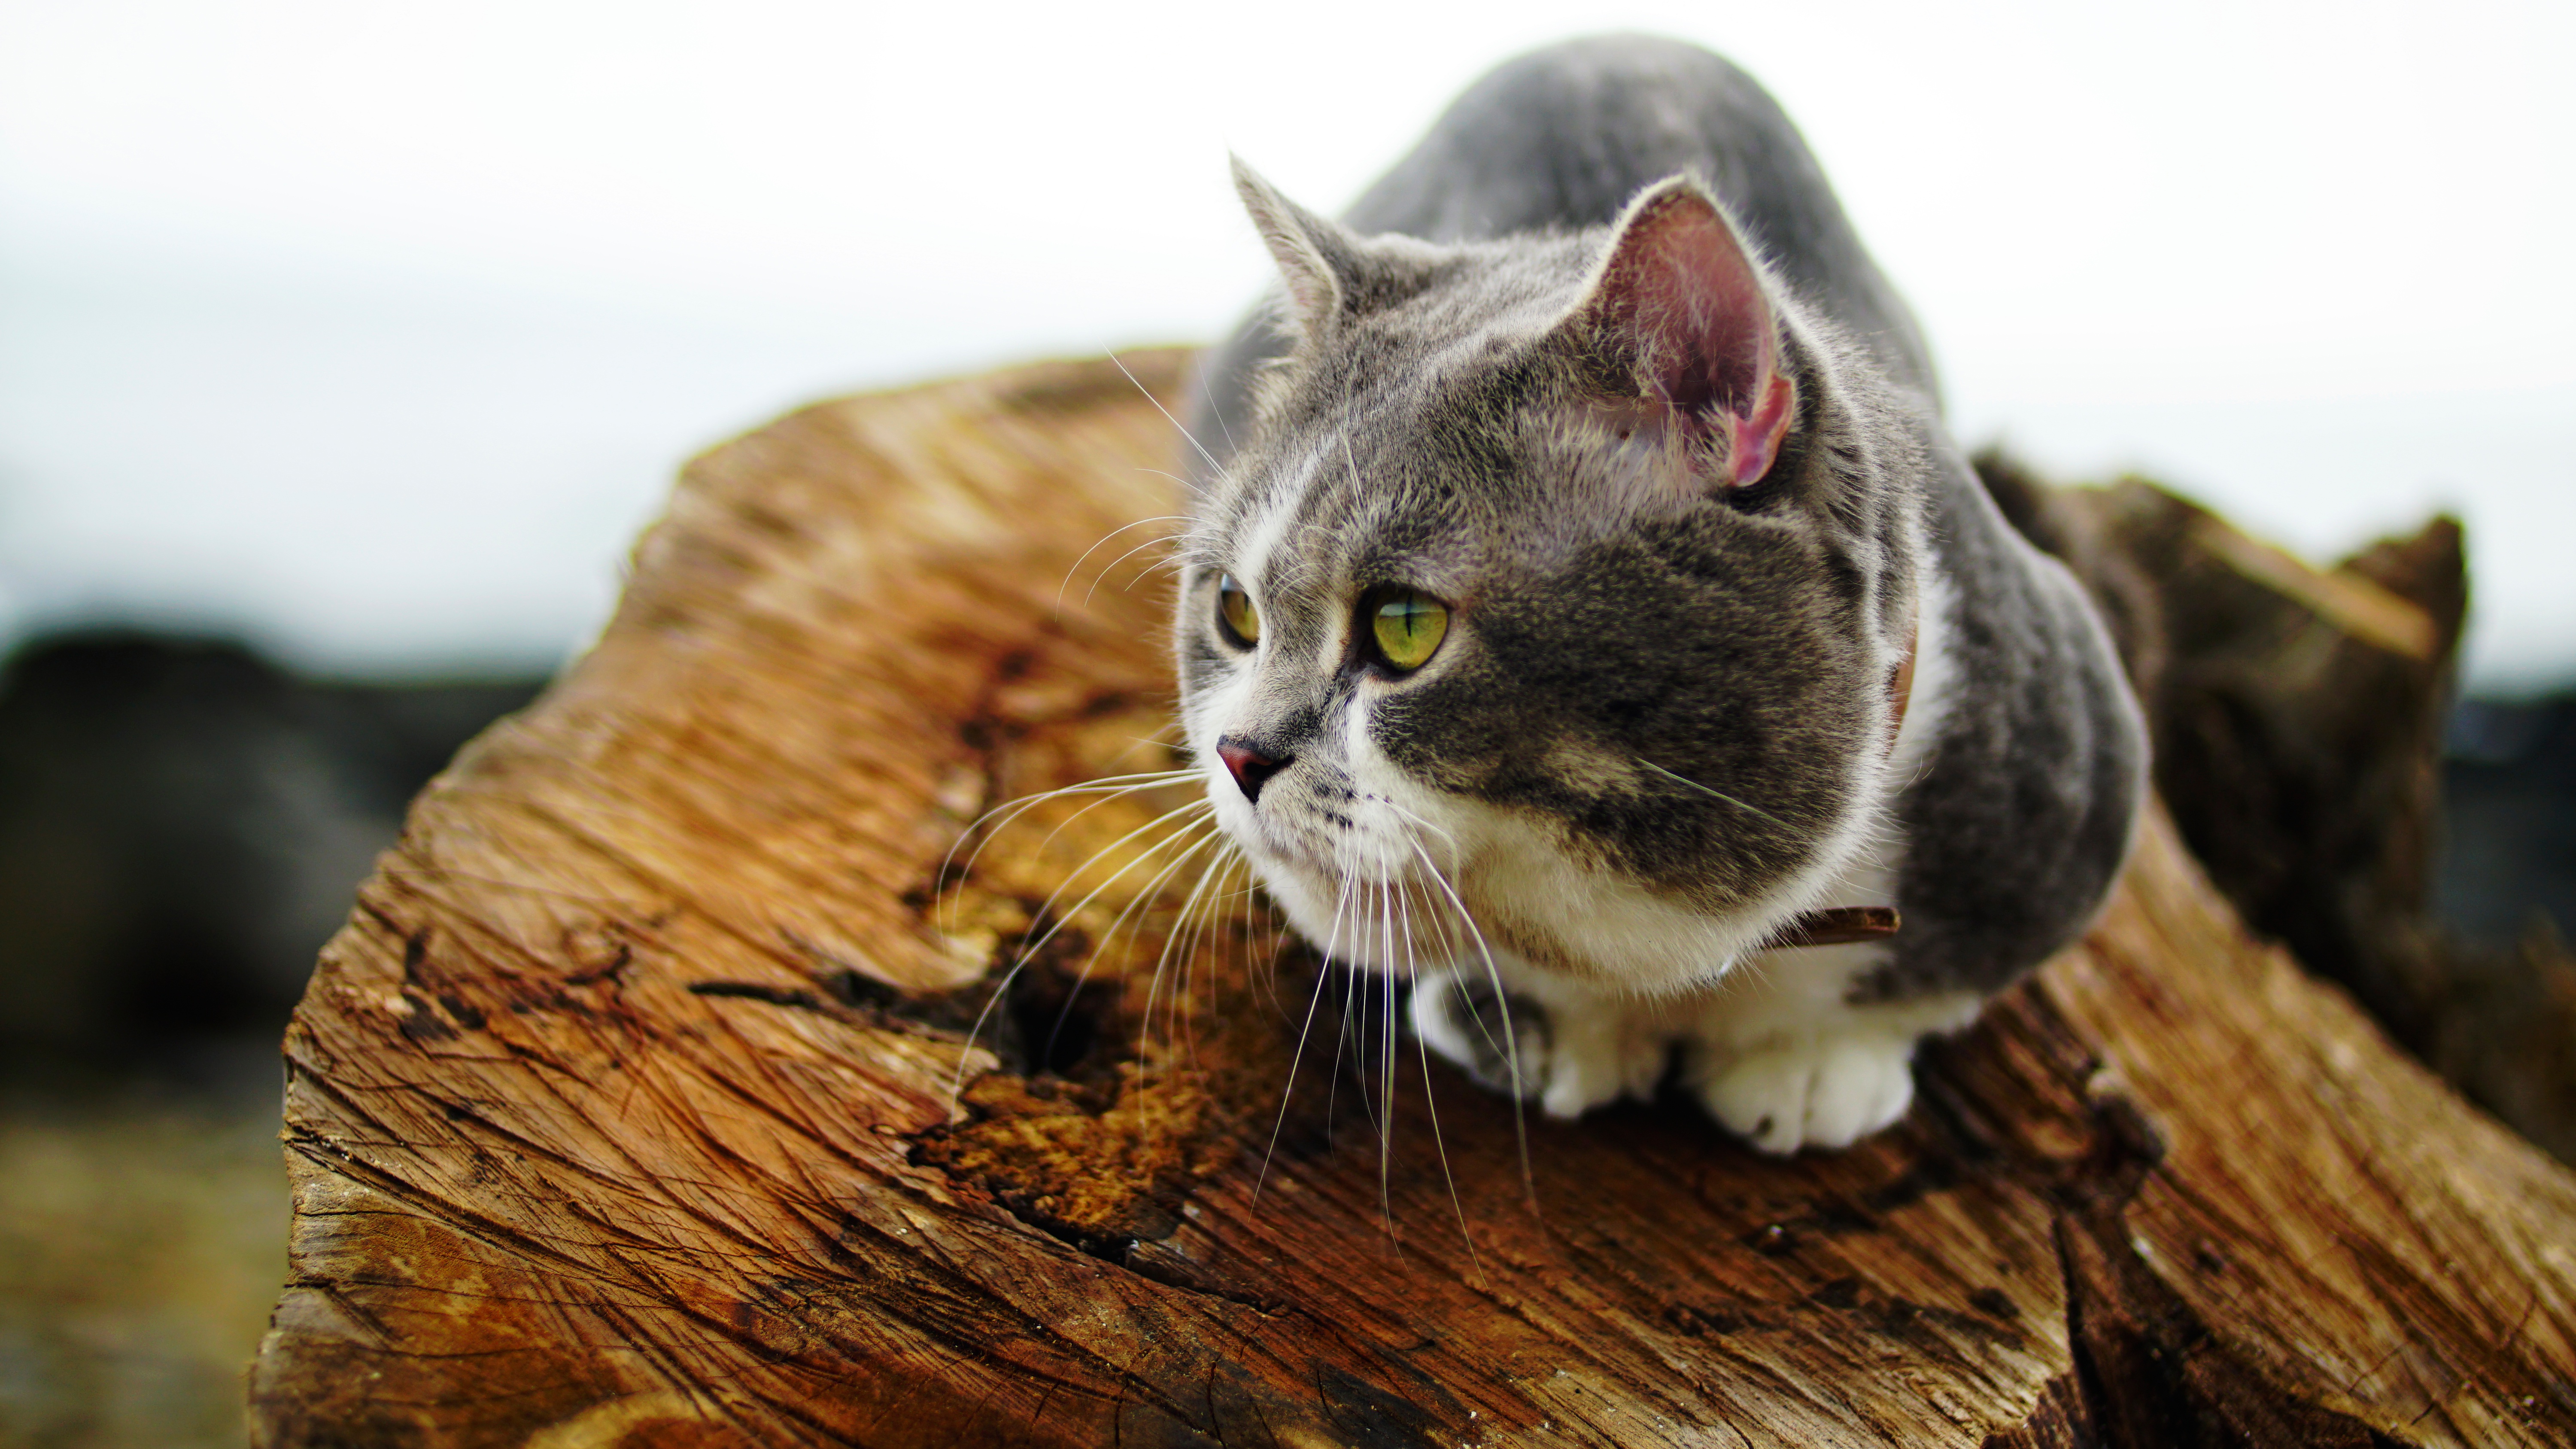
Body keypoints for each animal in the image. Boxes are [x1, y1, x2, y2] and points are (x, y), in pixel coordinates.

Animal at [1180, 33, 2143, 1150]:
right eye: (1235, 610)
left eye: (1405, 626)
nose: (1237, 753)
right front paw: (1537, 1025)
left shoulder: (2068, 754)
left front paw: (1815, 1064)